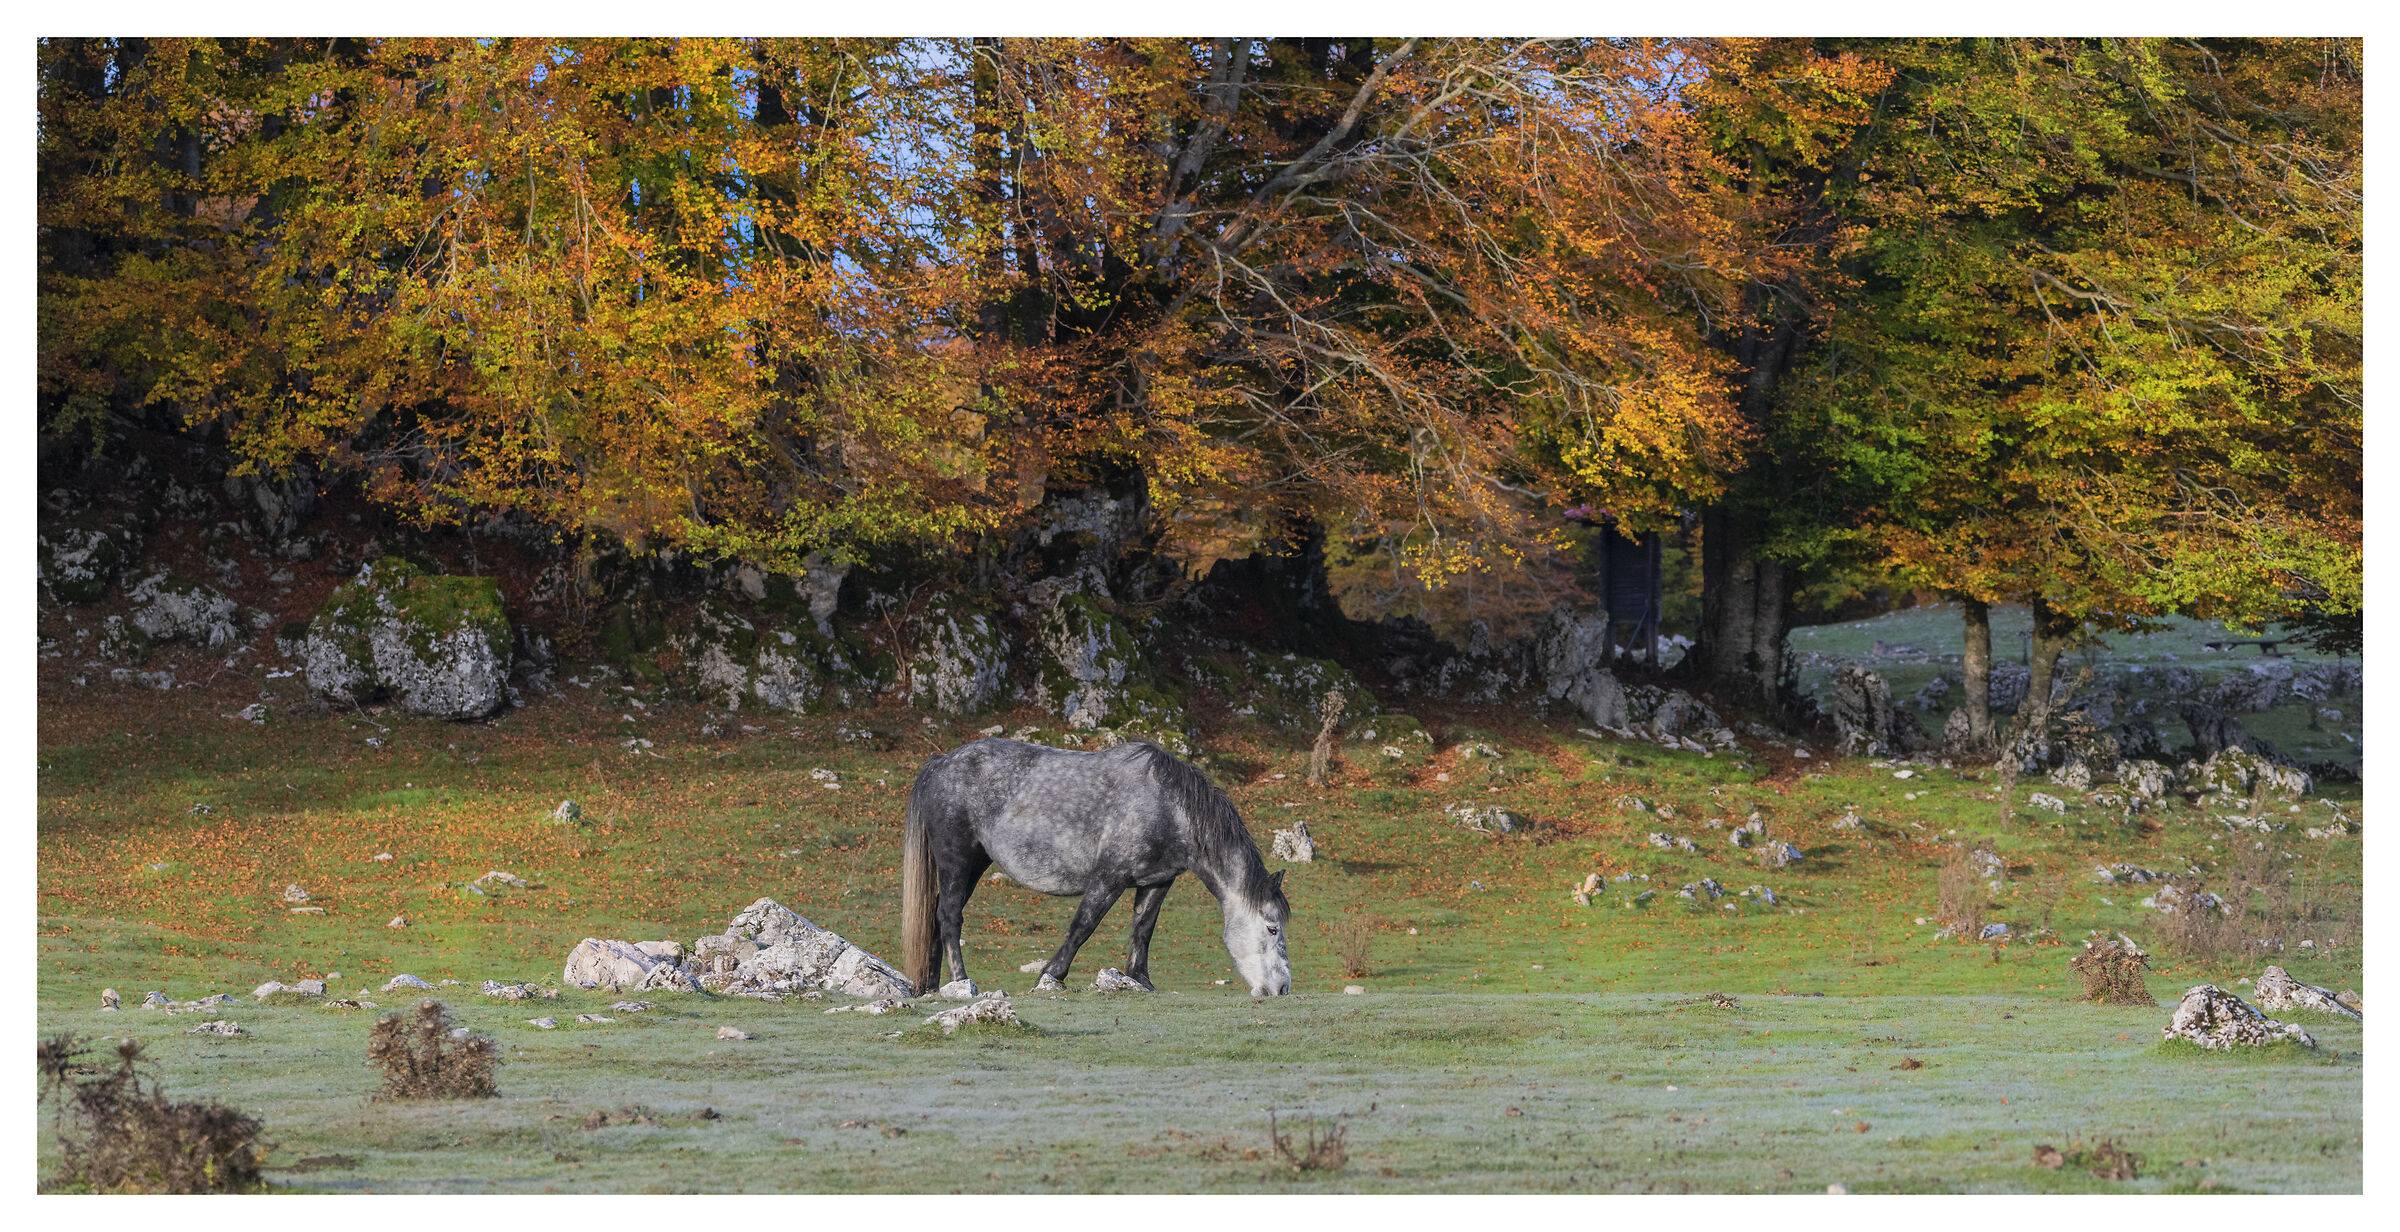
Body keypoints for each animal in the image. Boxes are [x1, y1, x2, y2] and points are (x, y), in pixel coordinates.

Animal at [899, 738, 1291, 997]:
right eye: (1272, 928)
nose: (1283, 988)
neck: (1168, 807)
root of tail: (940, 762)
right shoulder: (1108, 879)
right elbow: (1083, 926)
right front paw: (1051, 976)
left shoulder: (1157, 882)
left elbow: (1143, 930)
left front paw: (1141, 980)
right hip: (957, 862)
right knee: (950, 917)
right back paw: (961, 981)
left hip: (974, 865)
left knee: (937, 915)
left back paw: (933, 987)